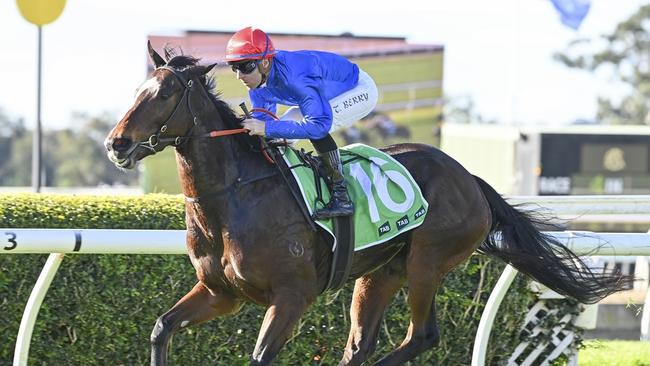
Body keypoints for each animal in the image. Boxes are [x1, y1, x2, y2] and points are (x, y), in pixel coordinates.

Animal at [104, 44, 624, 364]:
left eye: (165, 92)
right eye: (136, 91)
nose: (116, 144)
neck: (235, 199)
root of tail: (471, 179)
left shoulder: (292, 296)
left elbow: (259, 355)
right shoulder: (220, 293)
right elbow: (161, 328)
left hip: (427, 261)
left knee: (422, 335)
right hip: (379, 272)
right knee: (360, 345)